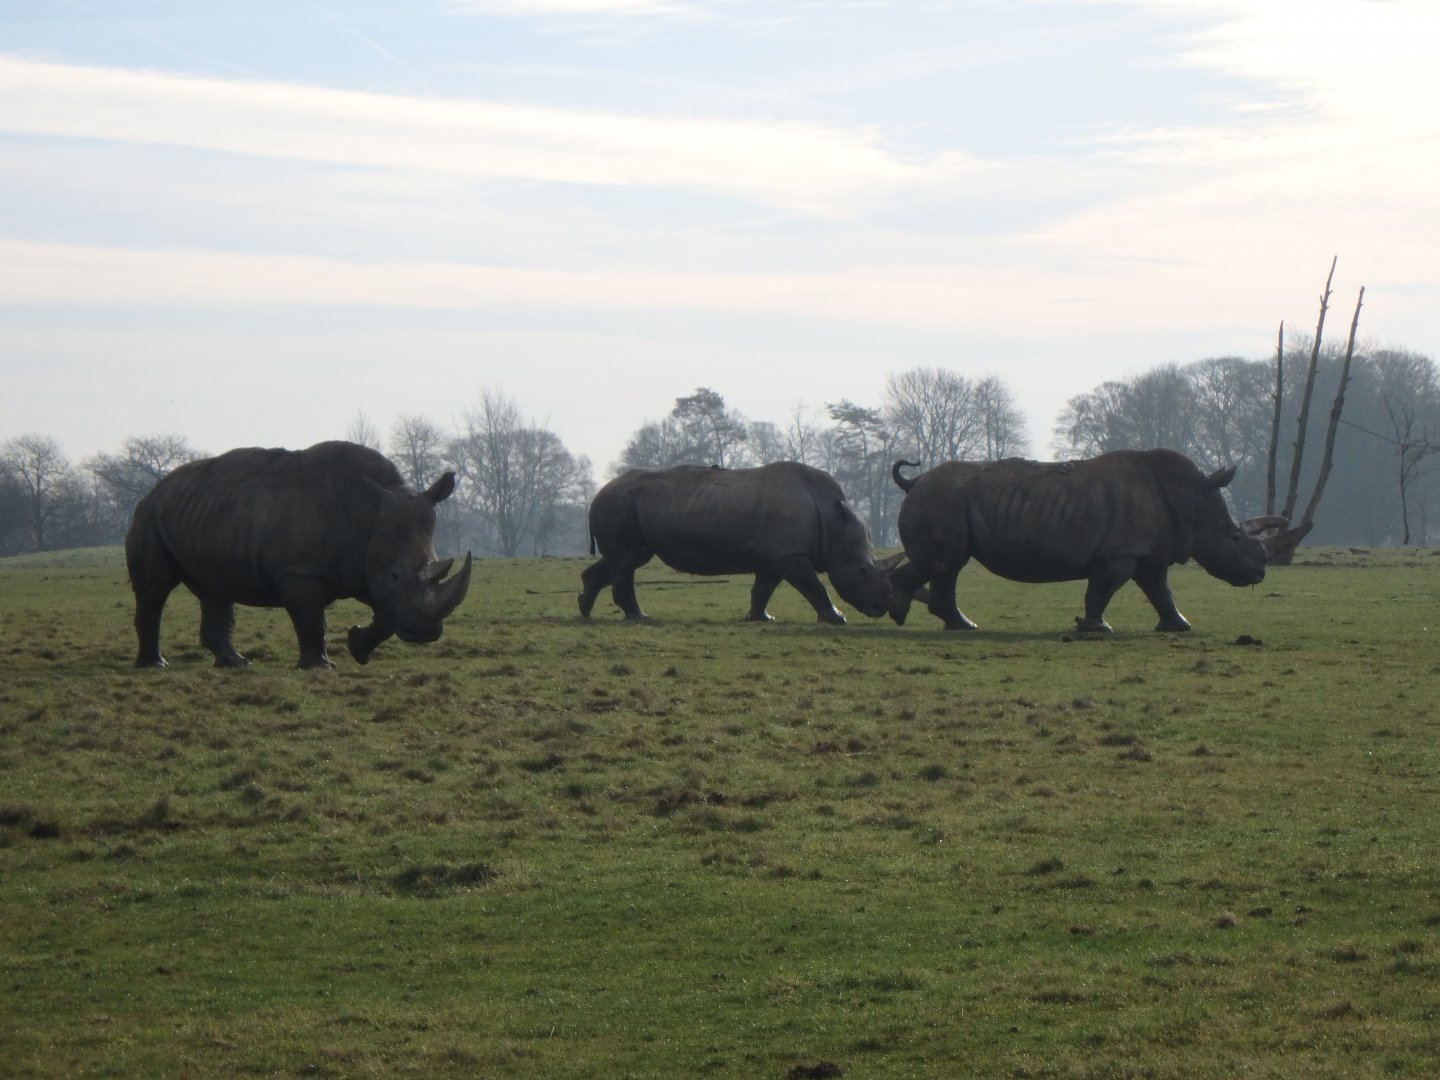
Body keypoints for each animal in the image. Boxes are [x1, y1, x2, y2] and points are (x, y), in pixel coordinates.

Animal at [126, 440, 472, 669]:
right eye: (395, 575)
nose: (426, 633)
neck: (367, 518)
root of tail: (155, 488)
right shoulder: (299, 570)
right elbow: (312, 619)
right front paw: (320, 667)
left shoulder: (368, 568)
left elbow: (388, 616)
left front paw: (358, 648)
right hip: (149, 515)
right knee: (155, 588)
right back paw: (155, 665)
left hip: (205, 514)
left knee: (215, 588)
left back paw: (236, 664)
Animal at [579, 461, 893, 624]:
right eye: (863, 570)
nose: (881, 608)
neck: (832, 519)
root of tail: (598, 493)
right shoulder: (790, 554)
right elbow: (815, 587)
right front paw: (837, 618)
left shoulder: (776, 557)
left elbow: (763, 589)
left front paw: (761, 618)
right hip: (619, 504)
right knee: (627, 560)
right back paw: (639, 617)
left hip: (623, 506)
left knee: (624, 559)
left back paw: (585, 610)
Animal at [887, 448, 1282, 633]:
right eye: (1234, 538)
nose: (1260, 572)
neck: (1191, 498)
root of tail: (914, 482)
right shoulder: (1120, 552)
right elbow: (1102, 590)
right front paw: (1097, 628)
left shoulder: (1148, 553)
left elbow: (1161, 591)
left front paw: (1180, 627)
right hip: (942, 499)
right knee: (942, 562)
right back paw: (896, 613)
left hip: (947, 501)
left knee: (947, 565)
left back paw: (962, 625)